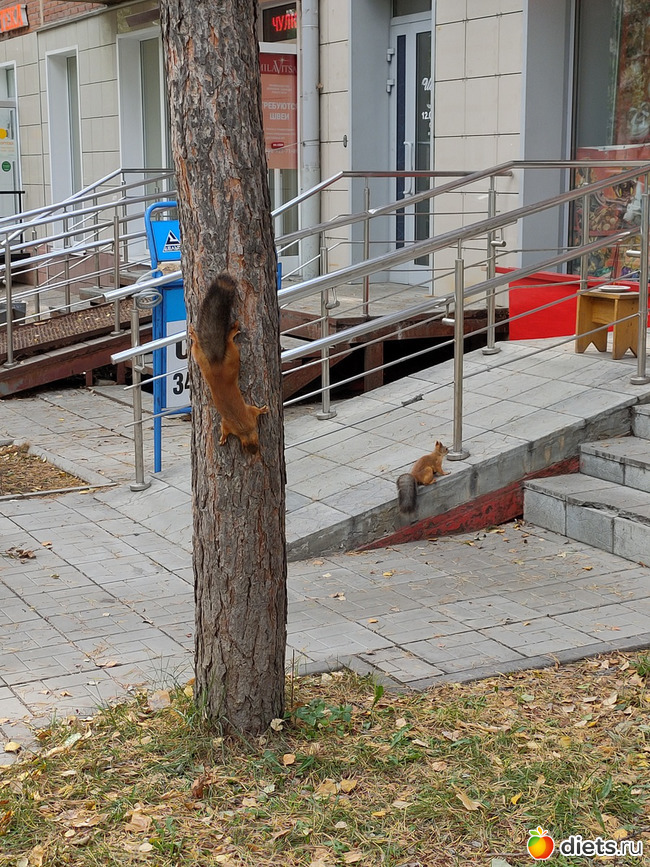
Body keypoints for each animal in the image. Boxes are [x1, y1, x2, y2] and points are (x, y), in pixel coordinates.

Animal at [188, 273, 268, 455]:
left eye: (257, 446)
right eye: (249, 448)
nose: (255, 455)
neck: (244, 428)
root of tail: (216, 365)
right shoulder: (241, 417)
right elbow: (230, 425)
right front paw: (223, 439)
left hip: (202, 360)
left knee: (197, 347)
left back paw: (194, 334)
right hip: (232, 355)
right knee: (228, 342)